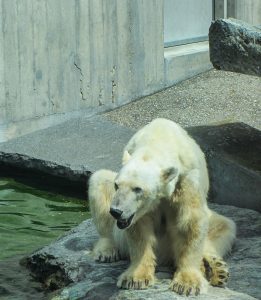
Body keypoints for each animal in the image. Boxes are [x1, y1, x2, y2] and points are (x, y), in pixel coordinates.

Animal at [88, 119, 236, 296]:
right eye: (117, 185)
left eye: (138, 189)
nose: (116, 212)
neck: (158, 140)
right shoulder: (137, 210)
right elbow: (140, 229)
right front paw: (135, 278)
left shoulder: (187, 178)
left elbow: (190, 221)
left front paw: (188, 283)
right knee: (99, 179)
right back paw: (106, 251)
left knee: (224, 225)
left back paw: (216, 269)